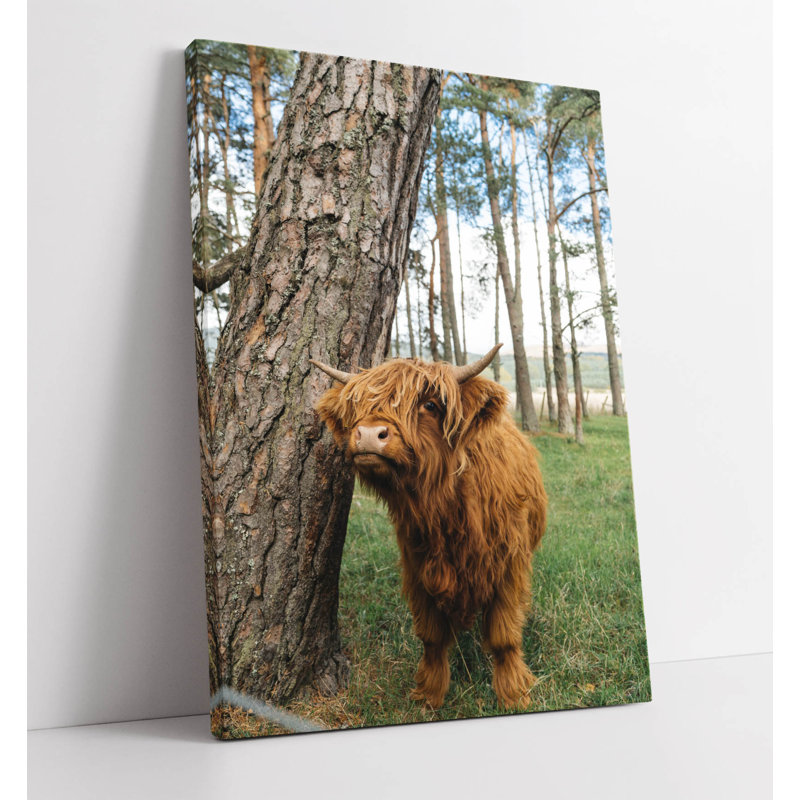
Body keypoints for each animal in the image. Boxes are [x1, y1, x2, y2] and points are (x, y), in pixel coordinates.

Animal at [311, 345, 547, 709]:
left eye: (430, 405)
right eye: (358, 405)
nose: (369, 435)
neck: (445, 508)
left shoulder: (508, 566)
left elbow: (504, 635)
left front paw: (514, 695)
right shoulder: (419, 566)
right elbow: (432, 636)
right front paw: (429, 694)